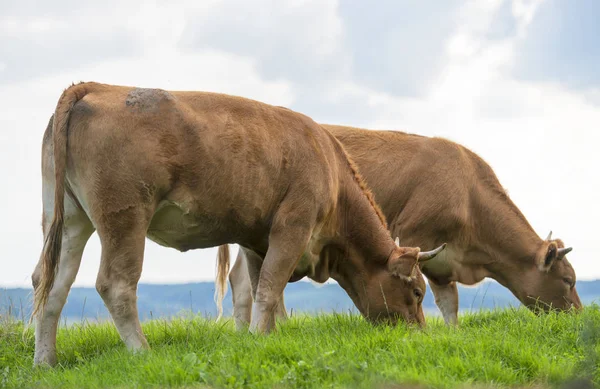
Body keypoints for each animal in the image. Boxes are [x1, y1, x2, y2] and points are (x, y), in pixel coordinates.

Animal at [32, 83, 446, 366]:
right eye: (417, 292)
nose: (421, 335)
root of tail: (98, 87)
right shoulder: (292, 226)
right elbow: (270, 288)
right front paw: (262, 339)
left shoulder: (255, 238)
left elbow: (255, 287)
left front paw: (258, 337)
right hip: (125, 216)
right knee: (115, 284)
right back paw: (142, 353)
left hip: (68, 220)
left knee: (50, 283)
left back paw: (45, 362)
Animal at [223, 123, 580, 328]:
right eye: (567, 280)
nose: (579, 315)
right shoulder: (414, 235)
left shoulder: (443, 261)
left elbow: (449, 303)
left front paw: (452, 336)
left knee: (243, 279)